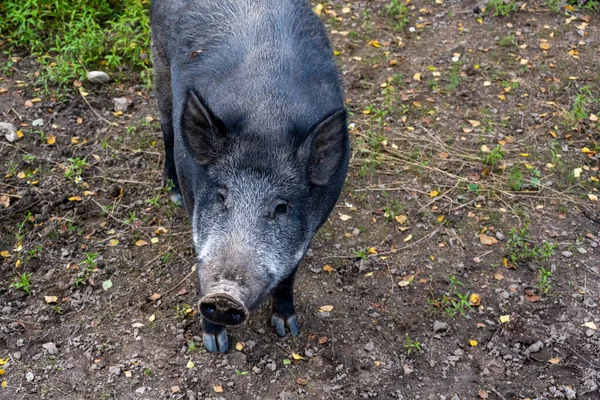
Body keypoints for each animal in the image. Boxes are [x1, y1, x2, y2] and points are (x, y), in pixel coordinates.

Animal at [150, 0, 350, 352]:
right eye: (221, 196)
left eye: (281, 207)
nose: (224, 296)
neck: (267, 118)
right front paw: (214, 345)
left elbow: (289, 274)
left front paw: (287, 329)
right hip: (158, 66)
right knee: (166, 130)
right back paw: (170, 191)